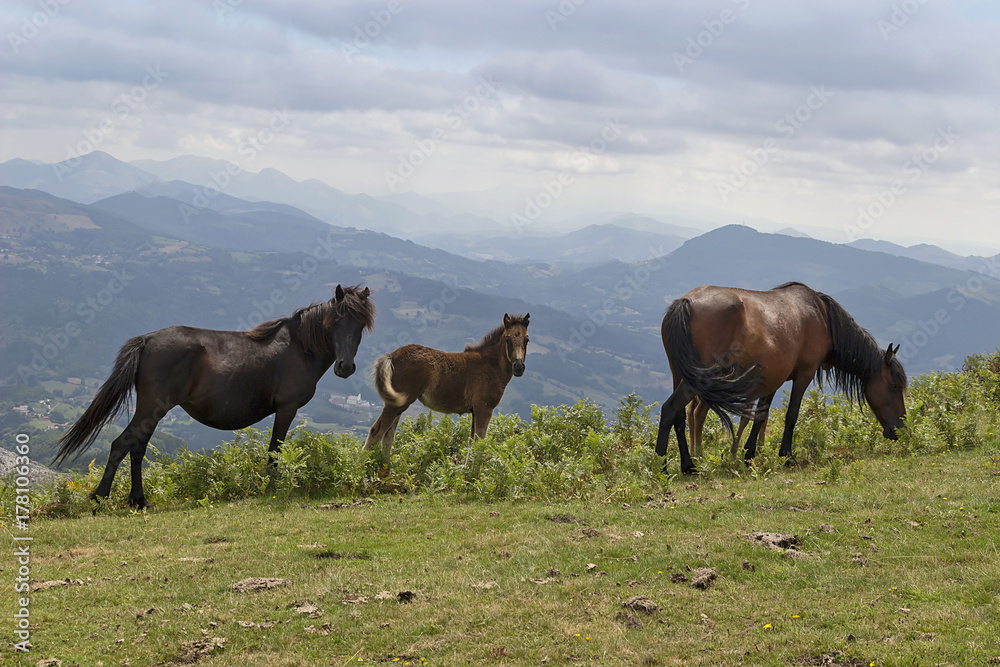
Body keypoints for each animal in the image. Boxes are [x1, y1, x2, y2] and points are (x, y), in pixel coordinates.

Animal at [54, 284, 376, 508]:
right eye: (335, 321)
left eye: (360, 325)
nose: (345, 367)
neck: (299, 347)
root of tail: (147, 340)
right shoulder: (286, 409)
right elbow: (274, 450)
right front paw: (270, 489)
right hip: (152, 408)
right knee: (122, 445)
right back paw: (99, 498)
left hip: (151, 412)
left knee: (137, 448)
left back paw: (139, 500)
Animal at [364, 313, 529, 467]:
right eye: (507, 339)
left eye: (527, 339)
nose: (518, 367)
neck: (490, 365)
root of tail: (391, 356)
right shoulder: (484, 408)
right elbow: (479, 442)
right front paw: (474, 474)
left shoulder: (475, 411)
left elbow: (471, 442)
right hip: (397, 403)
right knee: (376, 431)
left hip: (399, 404)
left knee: (388, 436)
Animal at [655, 282, 906, 474]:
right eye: (893, 386)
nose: (901, 430)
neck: (822, 315)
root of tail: (685, 302)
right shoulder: (804, 374)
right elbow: (791, 415)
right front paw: (787, 456)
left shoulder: (773, 379)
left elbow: (760, 416)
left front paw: (749, 455)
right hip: (698, 379)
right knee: (670, 409)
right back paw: (662, 466)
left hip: (680, 374)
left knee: (680, 415)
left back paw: (688, 466)